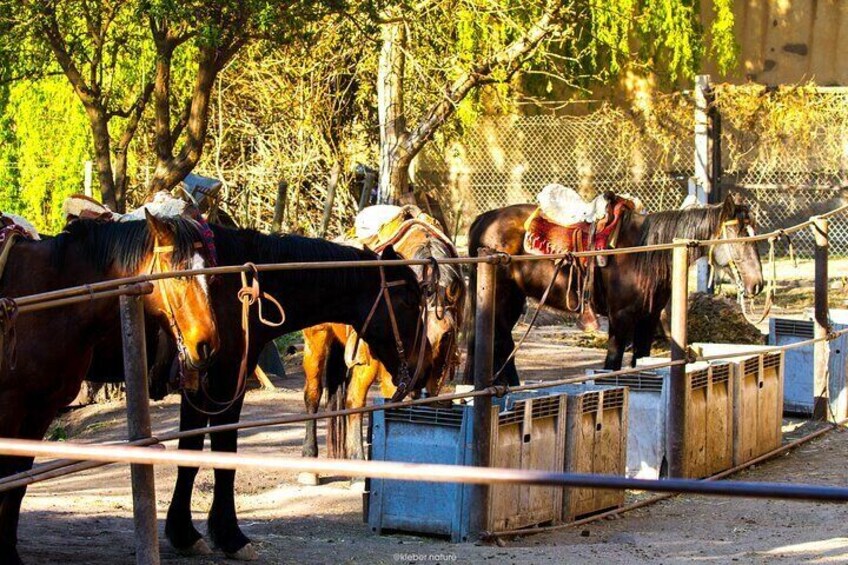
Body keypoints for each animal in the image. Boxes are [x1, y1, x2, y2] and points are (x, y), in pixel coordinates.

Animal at [0, 213, 219, 564]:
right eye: (177, 271)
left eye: (209, 273)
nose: (207, 345)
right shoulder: (10, 407)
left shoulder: (41, 410)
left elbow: (18, 481)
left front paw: (9, 551)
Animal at [163, 225, 434, 560]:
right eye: (409, 301)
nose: (426, 364)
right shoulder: (220, 385)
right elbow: (214, 453)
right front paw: (223, 536)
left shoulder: (205, 390)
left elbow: (192, 450)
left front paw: (187, 533)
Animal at [468, 193, 764, 384]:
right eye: (737, 235)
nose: (757, 284)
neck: (644, 251)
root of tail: (485, 218)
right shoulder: (620, 317)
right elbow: (612, 365)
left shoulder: (649, 317)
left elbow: (639, 361)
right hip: (501, 297)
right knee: (501, 339)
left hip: (514, 298)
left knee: (501, 340)